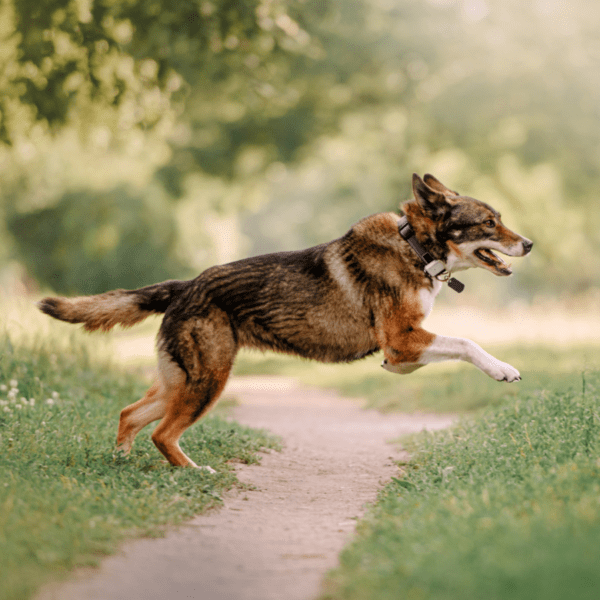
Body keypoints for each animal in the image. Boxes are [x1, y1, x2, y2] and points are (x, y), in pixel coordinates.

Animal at [38, 173, 536, 468]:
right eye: (489, 223)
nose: (529, 244)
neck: (415, 247)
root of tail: (185, 286)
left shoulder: (402, 351)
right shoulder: (401, 339)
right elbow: (467, 343)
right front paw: (503, 369)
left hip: (181, 382)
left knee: (130, 414)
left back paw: (122, 464)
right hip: (208, 381)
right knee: (161, 434)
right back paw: (193, 471)